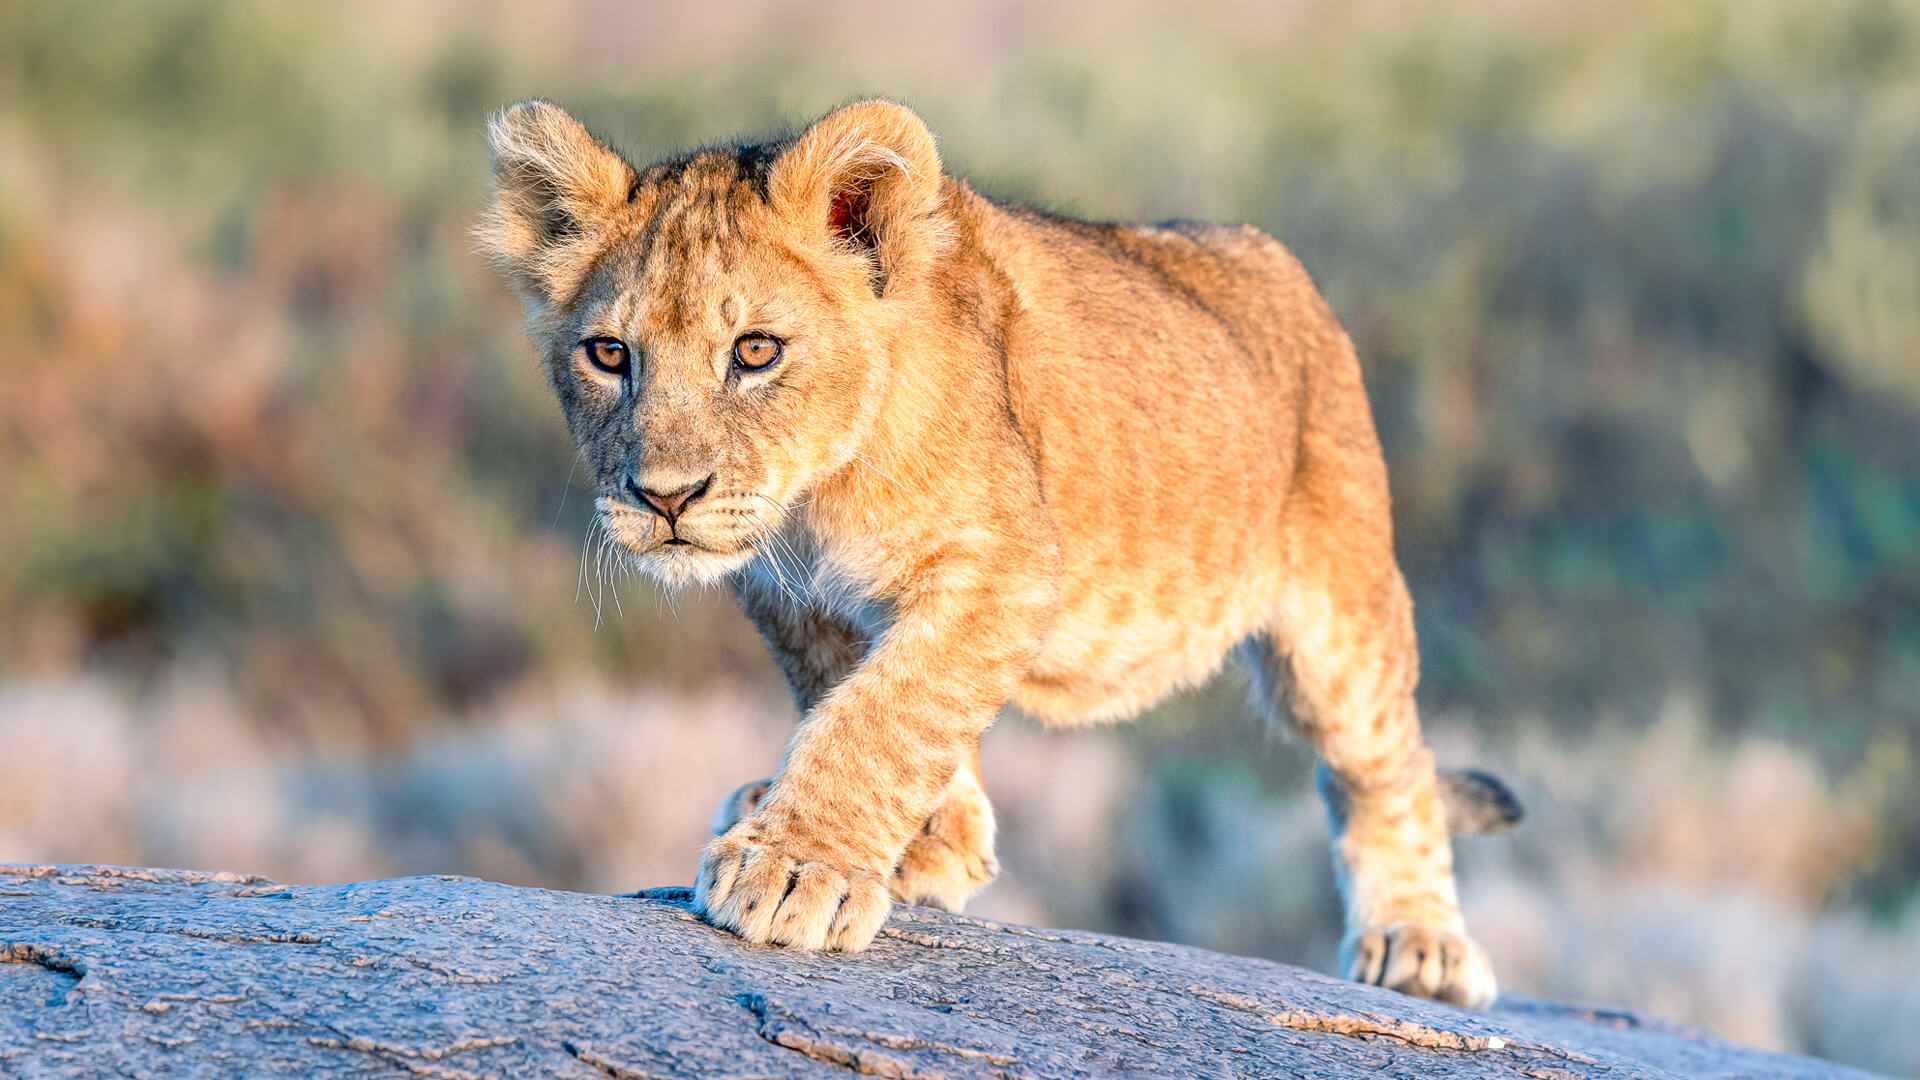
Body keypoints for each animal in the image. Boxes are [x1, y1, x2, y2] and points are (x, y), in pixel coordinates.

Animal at [478, 98, 1520, 1007]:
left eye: (757, 351)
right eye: (609, 355)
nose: (664, 498)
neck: (813, 500)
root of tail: (1281, 269)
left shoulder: (1008, 563)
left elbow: (888, 711)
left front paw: (796, 867)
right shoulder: (796, 599)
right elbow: (863, 695)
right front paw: (931, 842)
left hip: (1343, 610)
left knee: (1385, 765)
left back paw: (1421, 944)